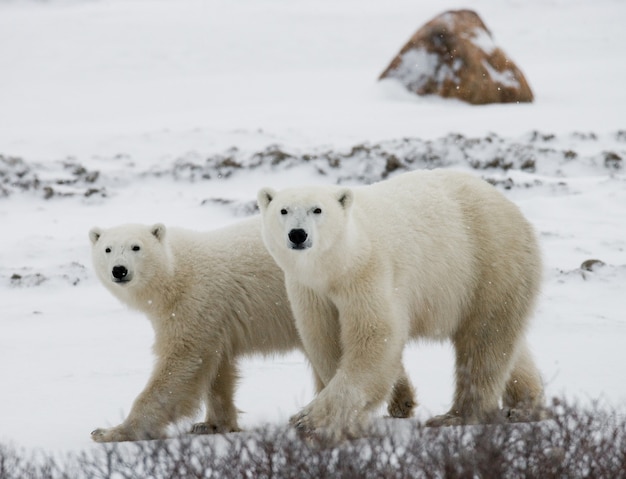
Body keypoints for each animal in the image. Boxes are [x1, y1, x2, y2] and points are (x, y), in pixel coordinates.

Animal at [85, 218, 412, 442]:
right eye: (107, 249)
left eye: (136, 247)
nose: (119, 270)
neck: (177, 273)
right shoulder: (215, 319)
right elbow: (217, 369)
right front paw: (211, 424)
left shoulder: (196, 303)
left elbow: (181, 366)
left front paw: (111, 431)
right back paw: (402, 402)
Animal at [256, 170, 544, 442]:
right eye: (283, 210)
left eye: (317, 209)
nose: (297, 234)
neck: (339, 266)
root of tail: (510, 206)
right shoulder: (310, 291)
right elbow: (326, 341)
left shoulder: (369, 274)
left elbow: (374, 338)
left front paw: (308, 419)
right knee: (506, 345)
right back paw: (524, 406)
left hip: (489, 263)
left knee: (484, 342)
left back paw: (457, 416)